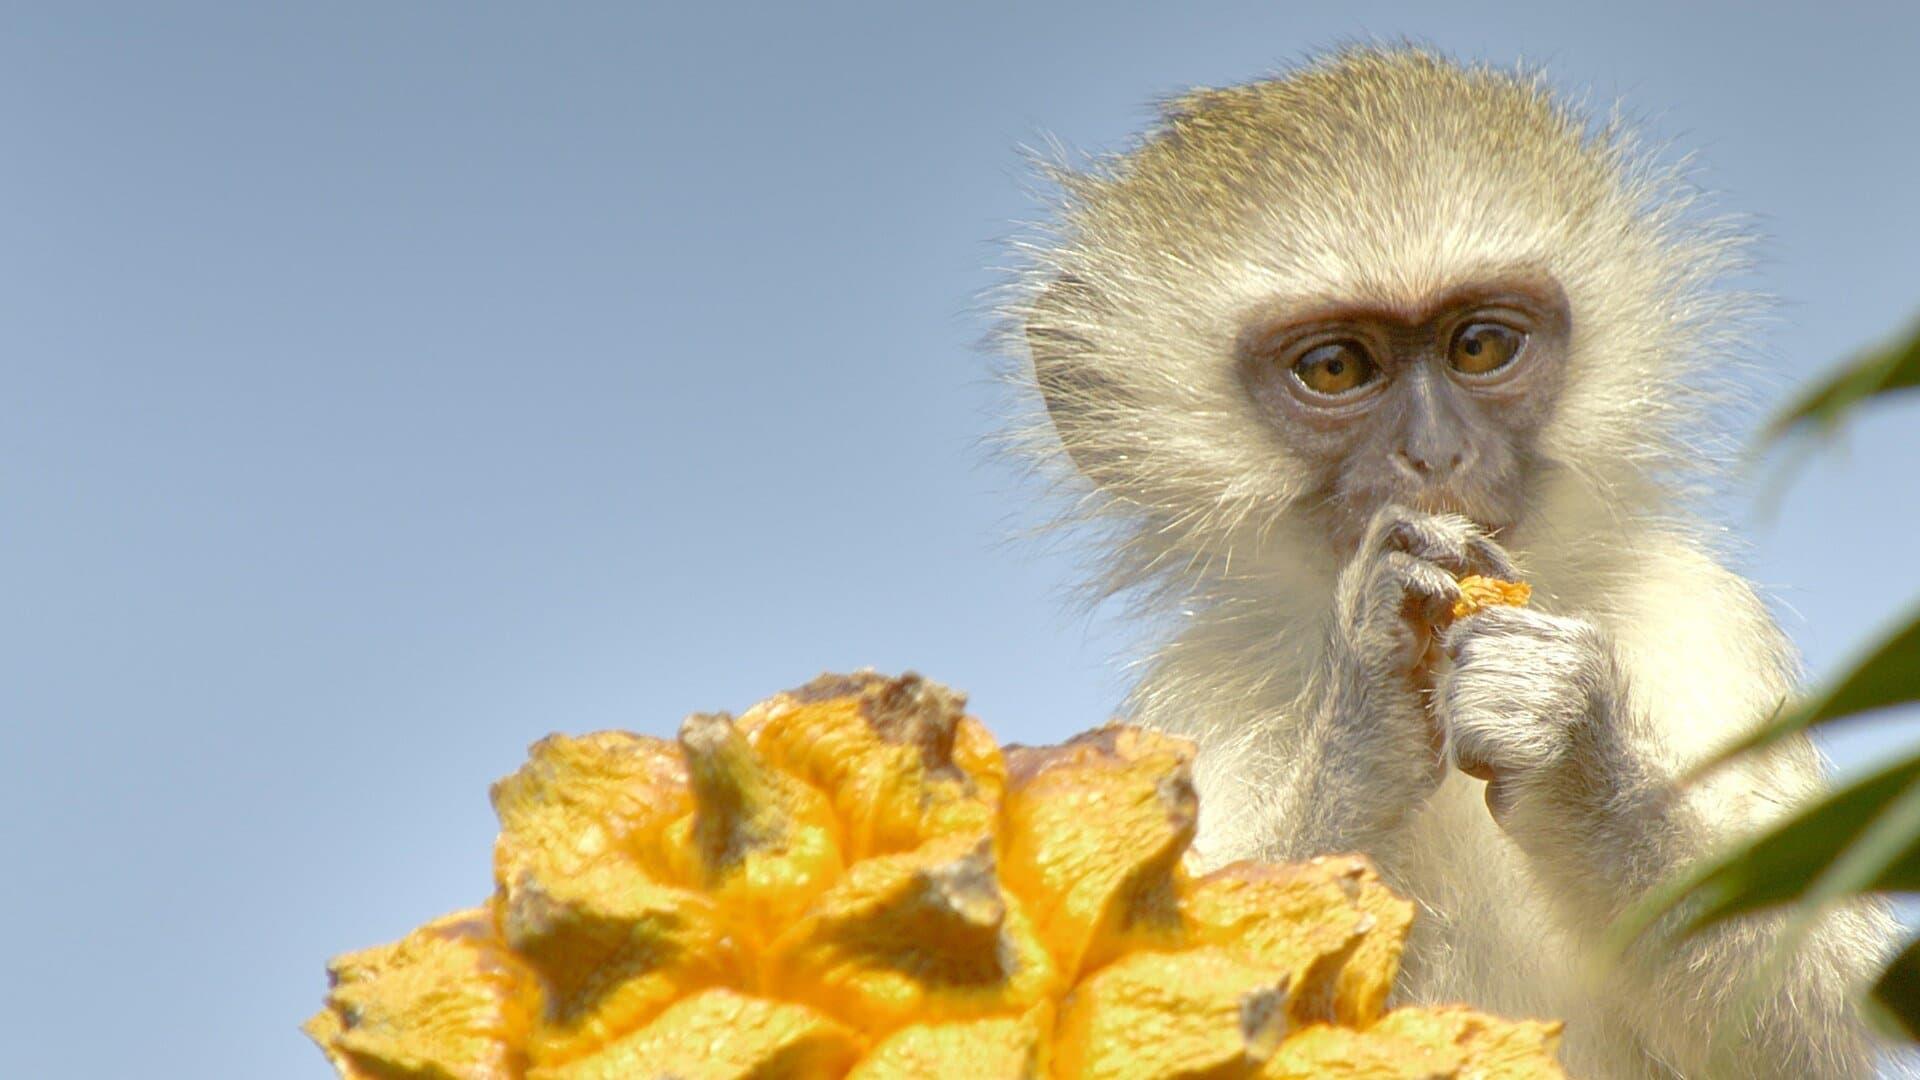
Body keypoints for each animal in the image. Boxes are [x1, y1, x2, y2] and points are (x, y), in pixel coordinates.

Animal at [1013, 48, 1896, 1076]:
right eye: (1335, 368)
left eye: (1478, 345)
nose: (1436, 455)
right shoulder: (1197, 691)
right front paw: (1365, 710)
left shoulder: (1702, 614)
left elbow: (1802, 1019)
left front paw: (1571, 746)